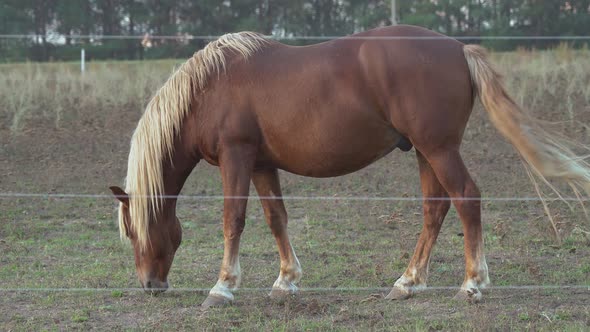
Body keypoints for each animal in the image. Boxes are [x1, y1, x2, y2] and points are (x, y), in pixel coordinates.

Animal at [110, 24, 590, 308]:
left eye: (133, 231)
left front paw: (222, 287)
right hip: (424, 150)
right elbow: (276, 218)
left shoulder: (237, 157)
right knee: (435, 208)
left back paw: (473, 283)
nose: (150, 285)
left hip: (439, 148)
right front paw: (286, 280)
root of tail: (457, 47)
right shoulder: (262, 164)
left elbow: (234, 219)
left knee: (466, 198)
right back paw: (408, 282)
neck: (210, 89)